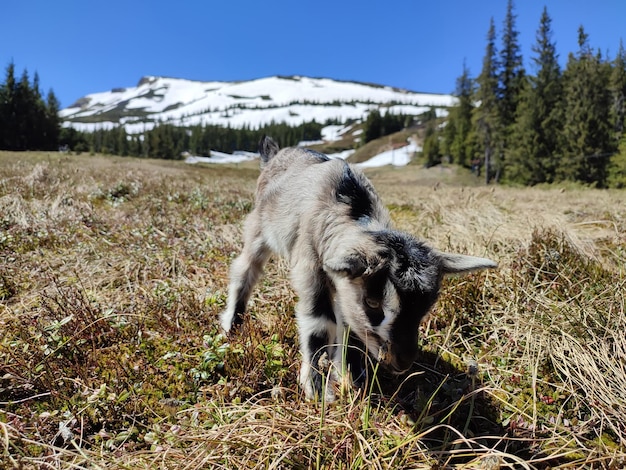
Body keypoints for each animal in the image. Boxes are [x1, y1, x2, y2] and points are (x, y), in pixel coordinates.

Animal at [221, 136, 498, 400]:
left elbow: (350, 326)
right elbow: (319, 325)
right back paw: (231, 325)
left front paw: (350, 377)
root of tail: (273, 155)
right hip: (258, 230)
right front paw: (317, 389)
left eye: (426, 308)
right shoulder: (310, 269)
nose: (403, 361)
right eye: (373, 303)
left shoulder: (346, 287)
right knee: (245, 270)